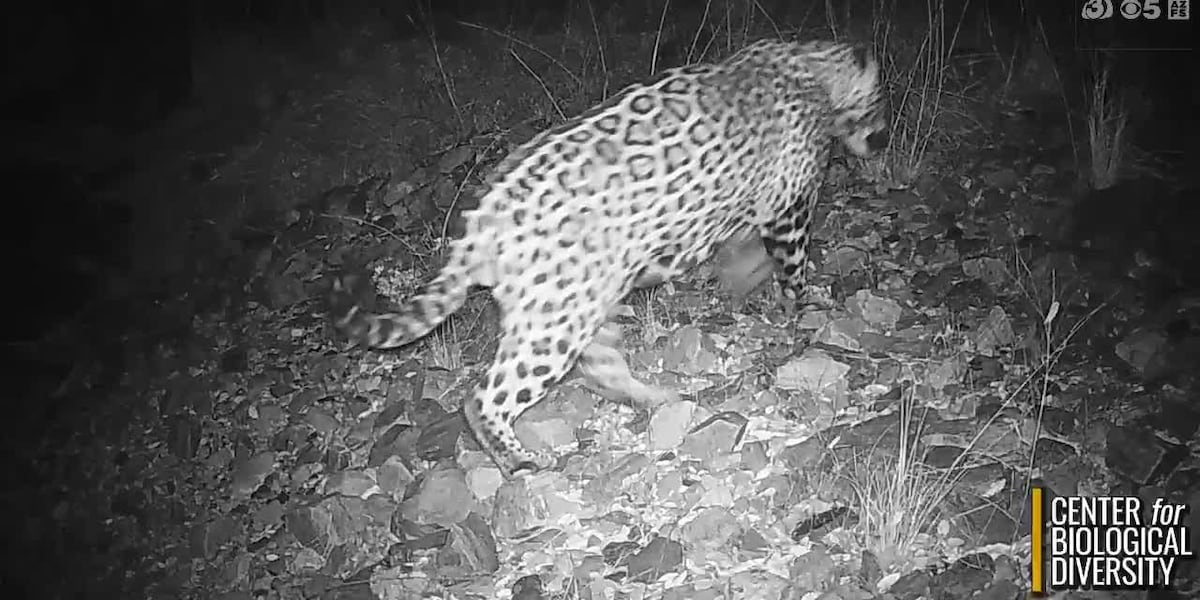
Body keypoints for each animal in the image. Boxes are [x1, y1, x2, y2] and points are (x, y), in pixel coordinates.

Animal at [331, 38, 889, 477]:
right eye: (882, 97)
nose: (883, 137)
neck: (813, 70)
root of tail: (479, 225)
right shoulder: (789, 208)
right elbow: (791, 266)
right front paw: (804, 304)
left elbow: (743, 256)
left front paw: (745, 285)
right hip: (555, 321)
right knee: (485, 396)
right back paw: (520, 461)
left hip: (581, 303)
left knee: (599, 368)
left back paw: (656, 399)